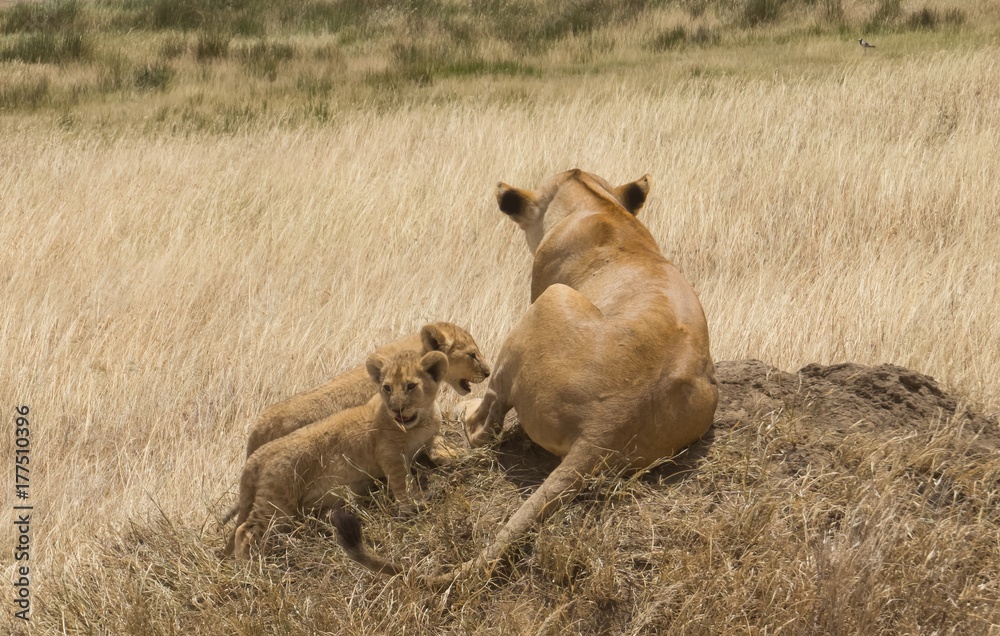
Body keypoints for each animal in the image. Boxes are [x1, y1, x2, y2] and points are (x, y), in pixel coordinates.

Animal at [224, 349, 453, 560]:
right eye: (387, 388)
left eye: (411, 386)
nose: (397, 409)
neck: (418, 422)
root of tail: (258, 454)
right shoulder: (389, 456)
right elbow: (402, 484)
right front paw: (410, 507)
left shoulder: (430, 437)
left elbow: (440, 447)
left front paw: (452, 456)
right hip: (276, 503)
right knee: (245, 530)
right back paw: (248, 566)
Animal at [334, 169, 719, 586]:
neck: (597, 204)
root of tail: (606, 425)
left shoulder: (539, 285)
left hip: (550, 302)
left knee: (486, 427)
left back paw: (465, 413)